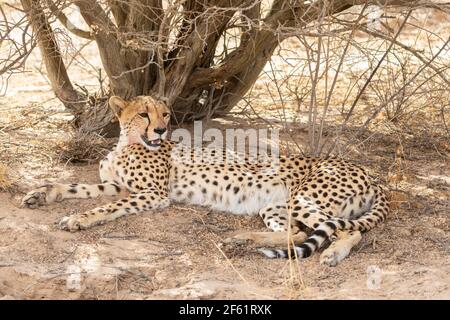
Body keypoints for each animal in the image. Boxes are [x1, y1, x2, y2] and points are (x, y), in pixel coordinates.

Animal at [21, 94, 388, 264]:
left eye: (165, 114)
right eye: (143, 114)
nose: (161, 129)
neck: (130, 142)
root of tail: (369, 172)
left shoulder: (153, 194)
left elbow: (104, 208)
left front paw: (77, 219)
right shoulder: (116, 184)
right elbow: (74, 187)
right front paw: (41, 193)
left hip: (301, 198)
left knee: (346, 230)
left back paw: (332, 253)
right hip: (274, 206)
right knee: (297, 232)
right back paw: (239, 240)